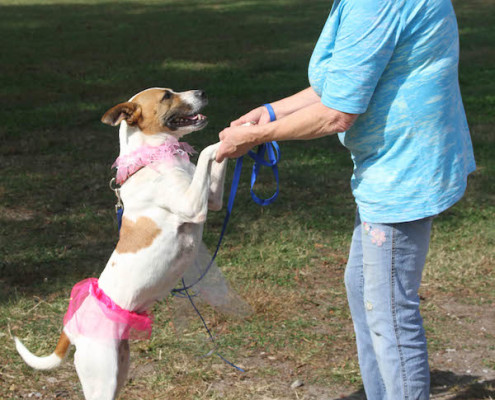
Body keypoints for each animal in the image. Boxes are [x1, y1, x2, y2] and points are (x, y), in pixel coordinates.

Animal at [14, 87, 229, 400]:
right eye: (167, 96)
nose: (201, 91)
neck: (154, 158)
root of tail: (71, 328)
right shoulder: (193, 206)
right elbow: (206, 154)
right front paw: (224, 139)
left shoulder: (211, 200)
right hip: (101, 379)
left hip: (119, 370)